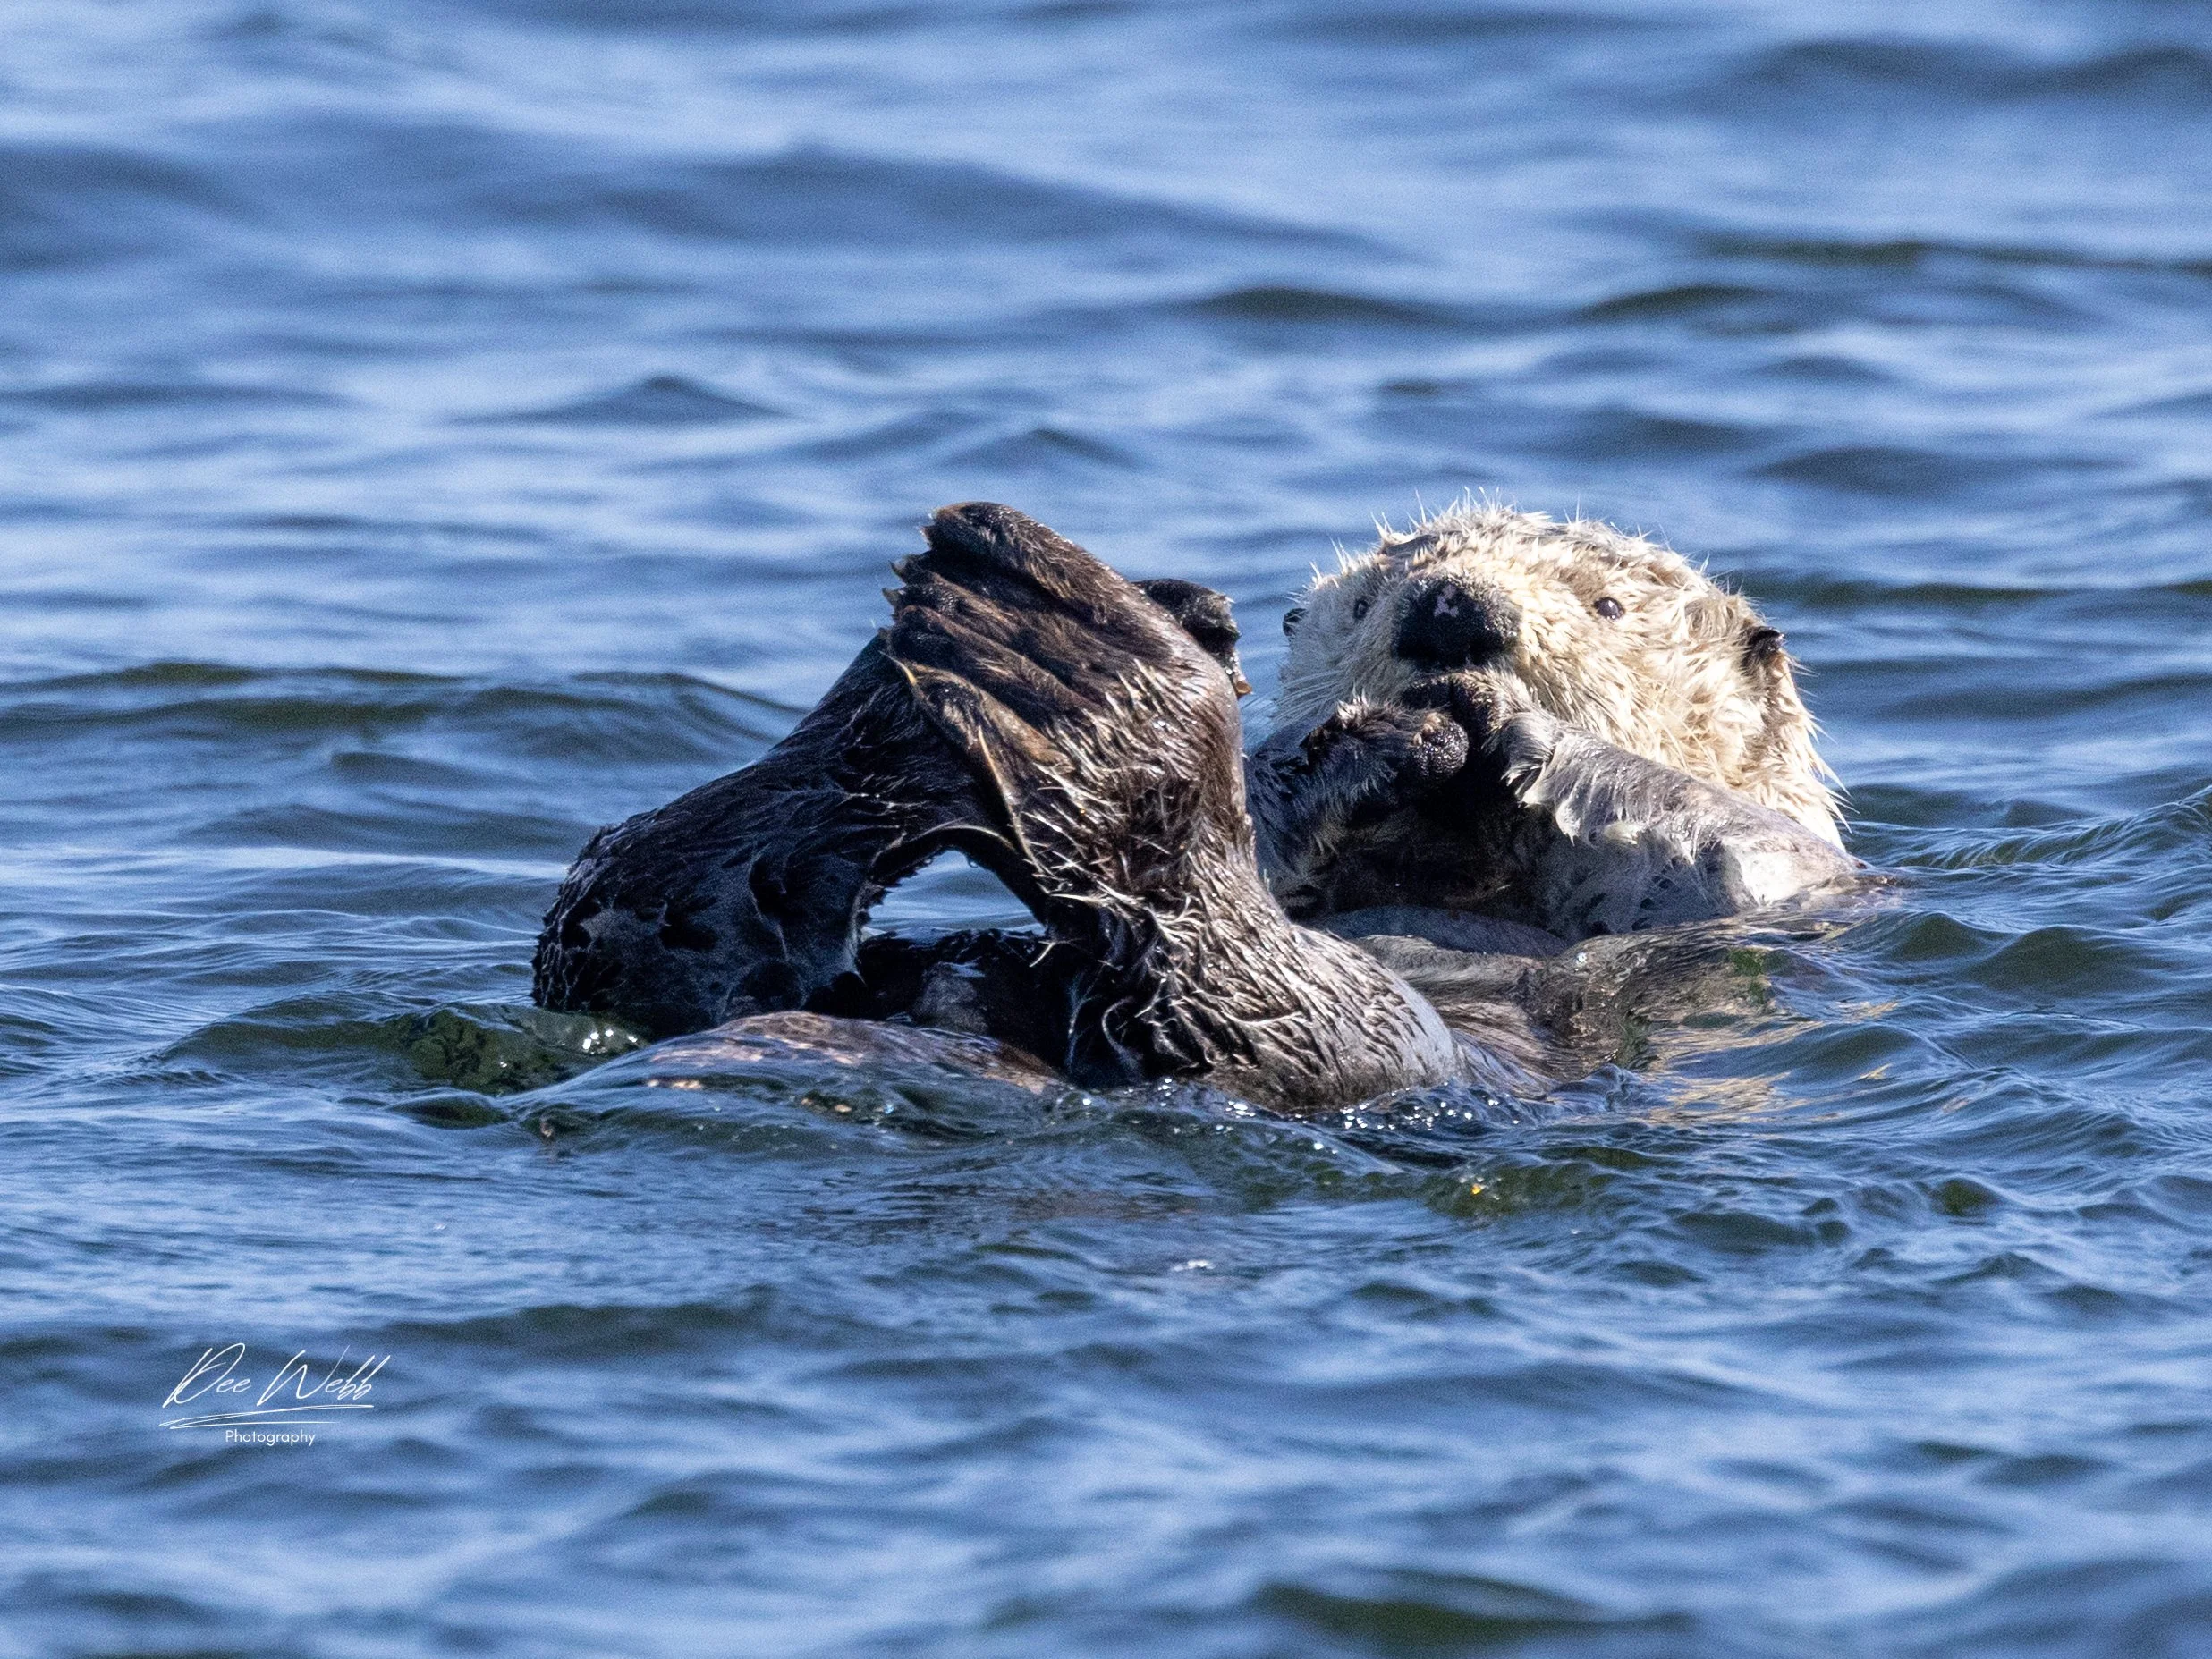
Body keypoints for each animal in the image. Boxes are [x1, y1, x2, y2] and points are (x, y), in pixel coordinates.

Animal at [1248, 503, 1856, 949]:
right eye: (1360, 605)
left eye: (1608, 606)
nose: (1450, 606)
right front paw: (1377, 736)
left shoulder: (1802, 884)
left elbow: (1755, 852)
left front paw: (1487, 702)